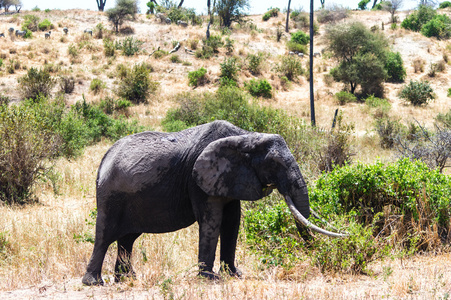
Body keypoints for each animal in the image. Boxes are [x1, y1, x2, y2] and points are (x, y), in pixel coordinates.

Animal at [82, 120, 346, 286]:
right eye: (274, 164)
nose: (316, 257)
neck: (245, 136)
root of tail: (103, 159)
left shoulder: (230, 178)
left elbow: (233, 221)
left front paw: (234, 274)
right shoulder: (199, 179)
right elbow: (212, 221)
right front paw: (210, 278)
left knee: (127, 239)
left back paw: (128, 279)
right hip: (111, 196)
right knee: (105, 235)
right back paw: (94, 283)